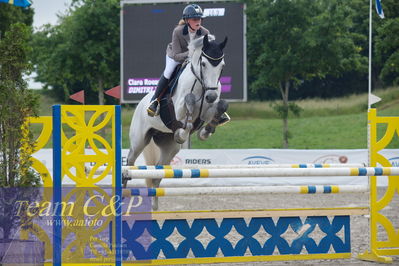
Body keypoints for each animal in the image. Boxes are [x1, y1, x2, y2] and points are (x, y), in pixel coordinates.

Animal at [126, 34, 230, 210]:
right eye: (203, 64)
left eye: (222, 66)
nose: (210, 96)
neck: (201, 85)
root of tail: (140, 104)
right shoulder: (179, 108)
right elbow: (189, 103)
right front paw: (183, 133)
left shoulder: (208, 110)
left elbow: (221, 106)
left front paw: (205, 131)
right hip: (139, 141)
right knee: (129, 163)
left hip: (169, 148)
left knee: (157, 174)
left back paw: (155, 207)